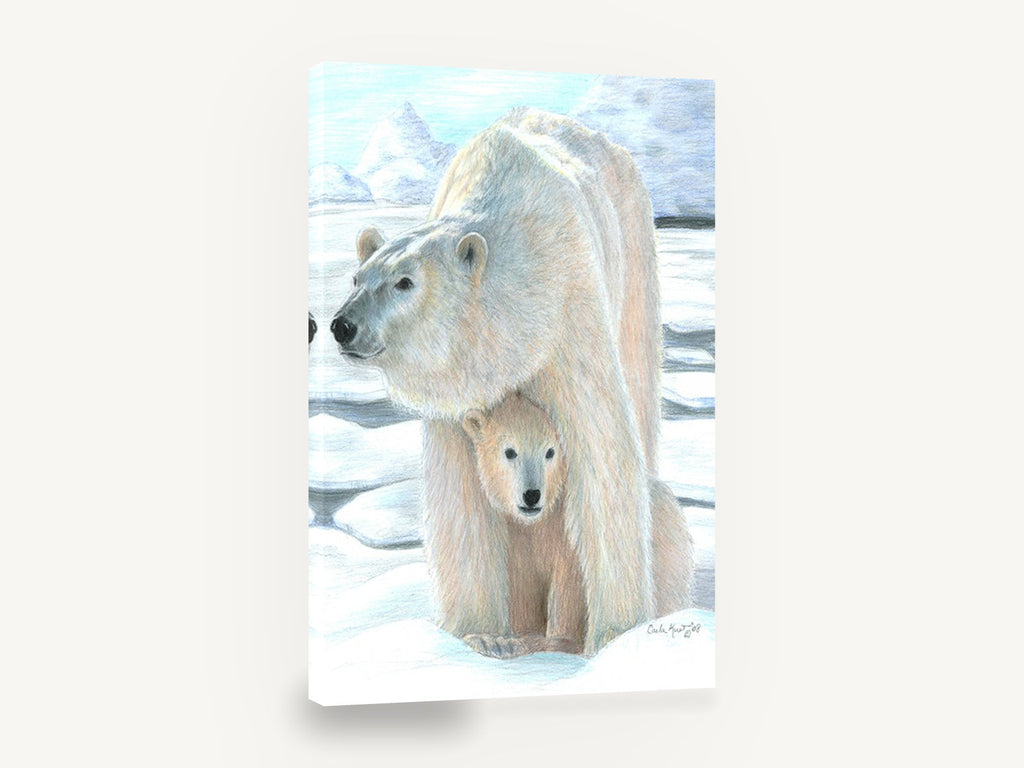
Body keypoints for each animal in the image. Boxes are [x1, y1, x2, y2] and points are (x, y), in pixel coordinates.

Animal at [330, 109, 663, 654]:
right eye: (358, 278)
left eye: (405, 282)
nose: (342, 325)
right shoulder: (458, 392)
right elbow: (458, 490)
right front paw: (481, 633)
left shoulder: (568, 312)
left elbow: (603, 450)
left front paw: (614, 634)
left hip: (633, 255)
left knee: (638, 377)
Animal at [459, 392, 694, 658]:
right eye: (510, 451)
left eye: (550, 452)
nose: (532, 495)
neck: (538, 522)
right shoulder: (516, 539)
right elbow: (521, 587)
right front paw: (512, 637)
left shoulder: (567, 532)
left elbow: (569, 582)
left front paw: (555, 640)